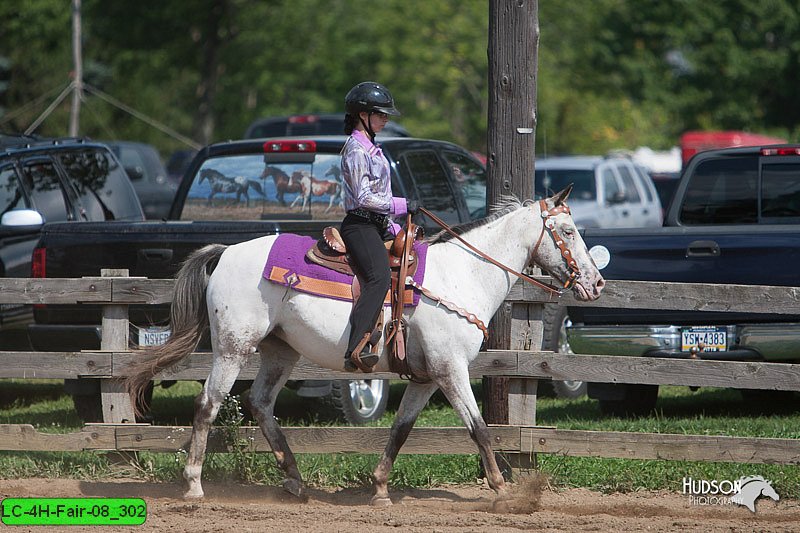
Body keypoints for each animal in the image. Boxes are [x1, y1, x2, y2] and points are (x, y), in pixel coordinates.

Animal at [123, 186, 600, 502]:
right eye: (568, 231)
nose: (596, 283)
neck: (462, 276)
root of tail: (225, 252)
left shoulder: (427, 377)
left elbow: (401, 429)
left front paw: (381, 487)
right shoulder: (451, 371)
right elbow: (479, 427)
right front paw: (503, 490)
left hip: (280, 351)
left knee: (259, 403)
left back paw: (295, 480)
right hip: (232, 347)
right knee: (208, 404)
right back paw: (194, 484)